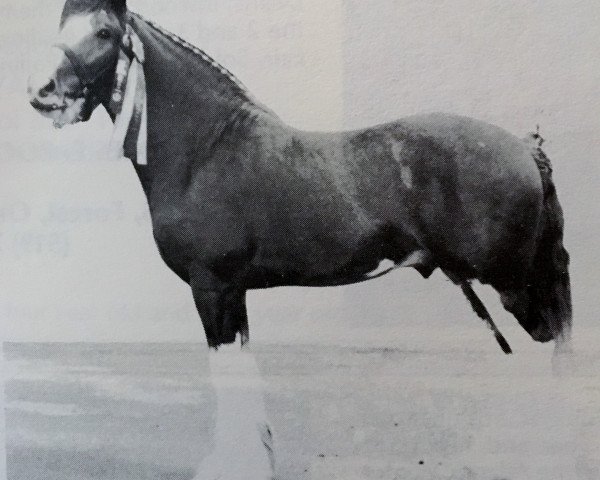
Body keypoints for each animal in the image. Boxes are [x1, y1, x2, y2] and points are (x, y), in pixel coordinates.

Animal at [28, 1, 572, 478]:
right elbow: (243, 375)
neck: (205, 151)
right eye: (61, 24)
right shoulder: (234, 292)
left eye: (103, 32)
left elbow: (228, 376)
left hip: (511, 284)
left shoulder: (212, 288)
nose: (40, 89)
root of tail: (525, 148)